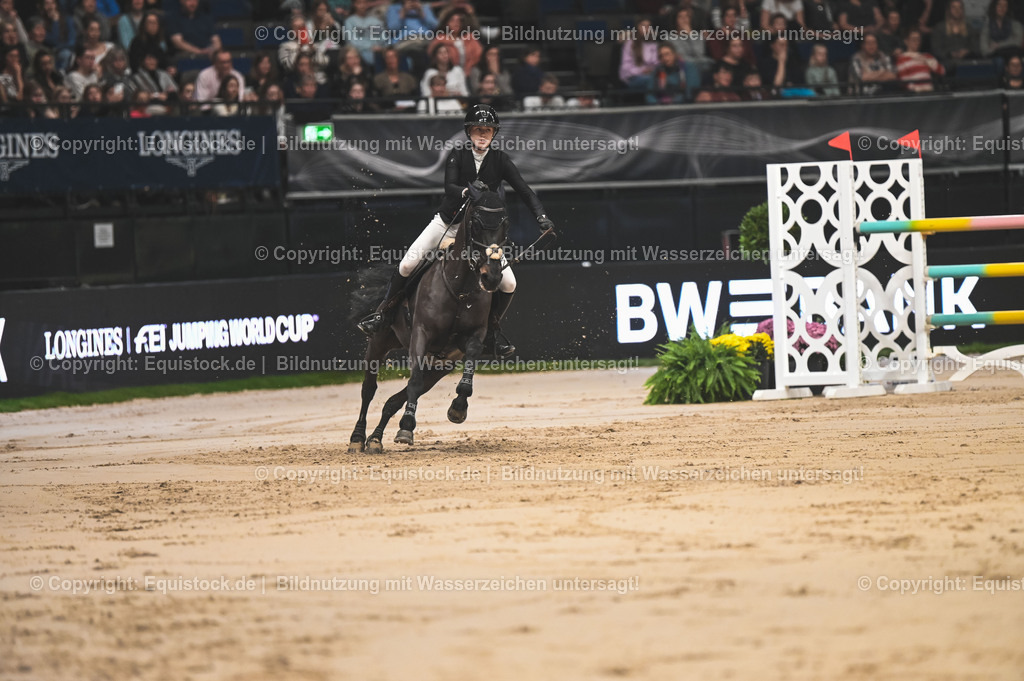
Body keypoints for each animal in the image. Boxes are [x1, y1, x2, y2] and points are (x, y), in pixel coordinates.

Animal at [348, 190, 511, 454]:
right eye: (476, 223)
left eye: (505, 224)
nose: (492, 276)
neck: (460, 286)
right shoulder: (421, 334)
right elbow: (412, 381)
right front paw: (406, 427)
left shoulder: (473, 338)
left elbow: (465, 378)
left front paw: (458, 409)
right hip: (380, 341)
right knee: (368, 390)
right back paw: (358, 437)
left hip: (439, 366)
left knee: (394, 399)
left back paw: (375, 439)